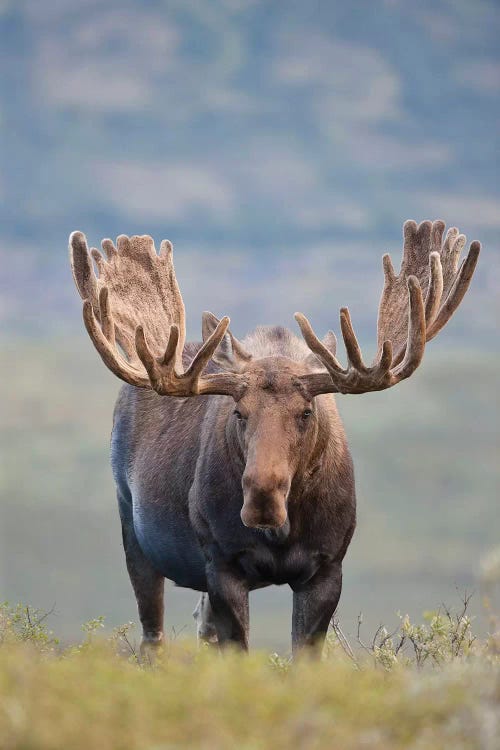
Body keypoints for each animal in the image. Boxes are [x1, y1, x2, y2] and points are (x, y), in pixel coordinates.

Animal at [68, 220, 478, 656]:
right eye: (239, 412)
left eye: (306, 412)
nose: (262, 496)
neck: (284, 534)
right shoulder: (223, 564)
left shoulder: (327, 568)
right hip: (133, 528)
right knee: (153, 635)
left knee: (200, 626)